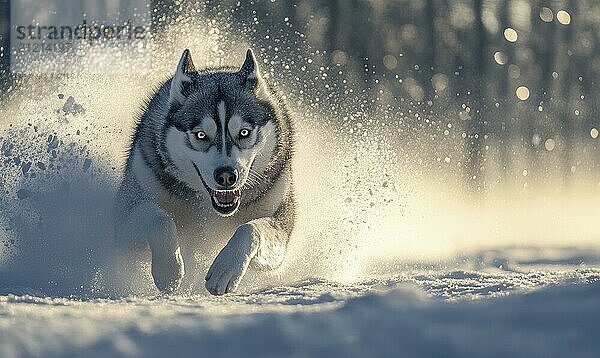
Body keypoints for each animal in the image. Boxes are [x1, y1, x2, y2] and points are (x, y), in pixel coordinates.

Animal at [113, 49, 294, 296]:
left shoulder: (280, 226)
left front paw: (226, 269)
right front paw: (169, 269)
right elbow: (159, 219)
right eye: (200, 135)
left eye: (244, 132)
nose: (227, 175)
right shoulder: (124, 220)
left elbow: (250, 229)